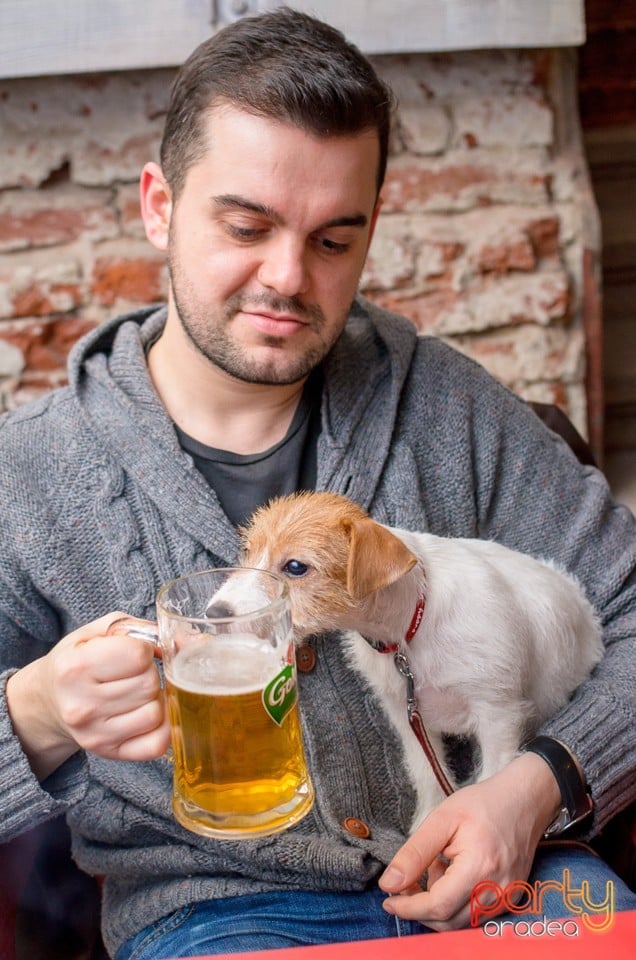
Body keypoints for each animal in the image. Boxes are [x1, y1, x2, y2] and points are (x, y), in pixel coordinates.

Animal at [227, 492, 600, 828]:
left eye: (295, 567)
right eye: (248, 551)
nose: (217, 610)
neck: (409, 630)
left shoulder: (499, 714)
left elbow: (493, 778)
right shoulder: (407, 717)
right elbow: (427, 774)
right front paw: (427, 821)